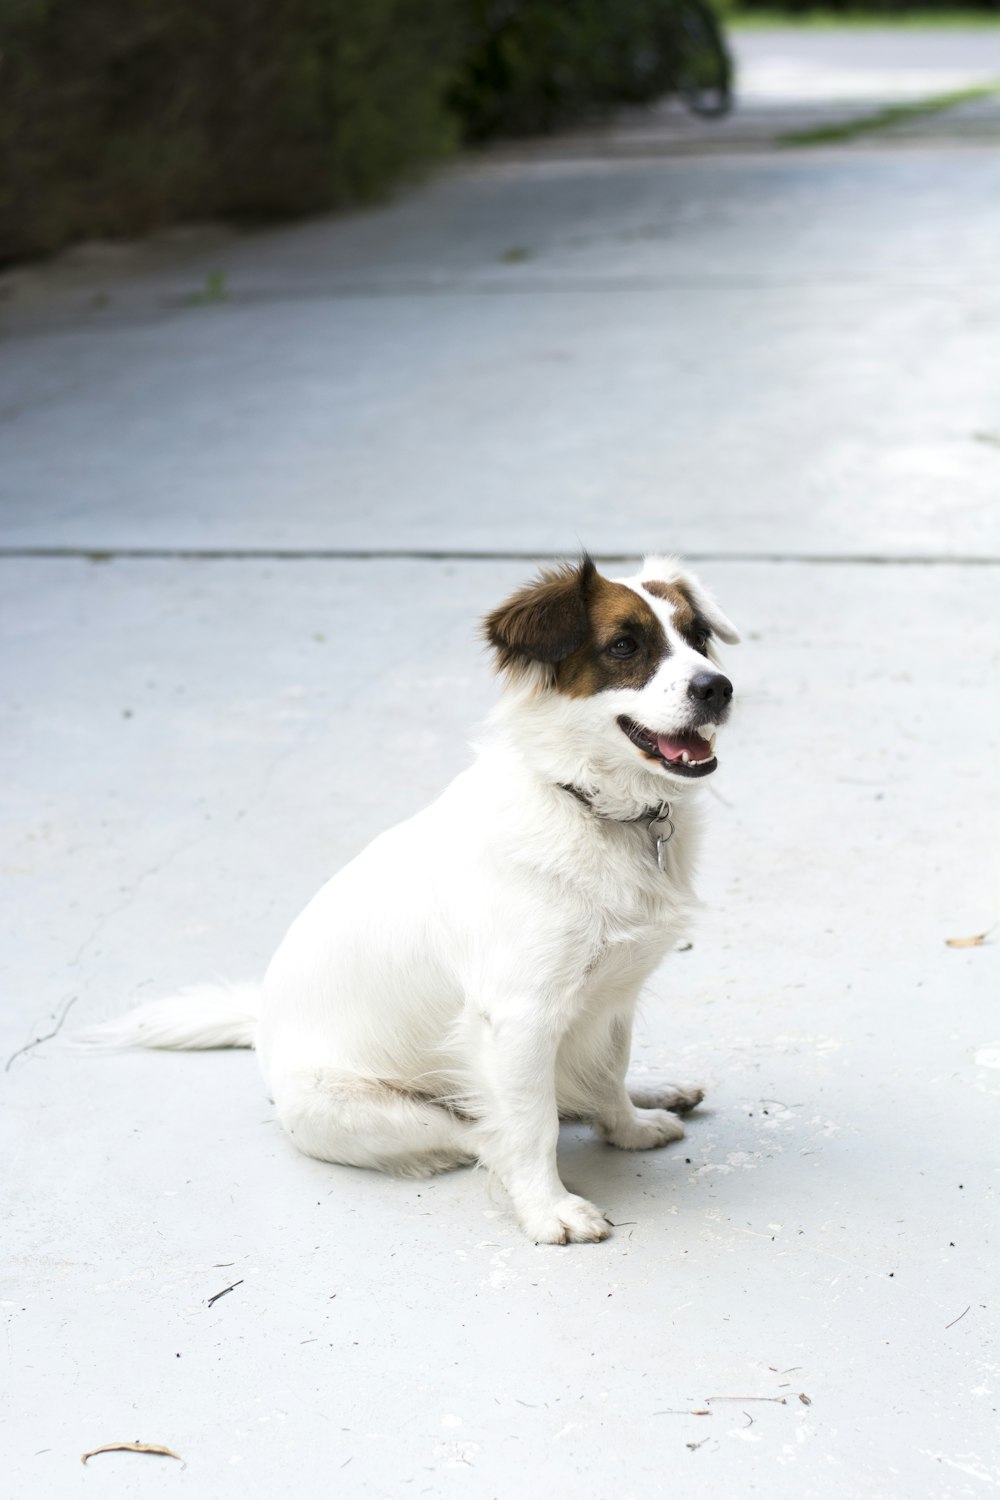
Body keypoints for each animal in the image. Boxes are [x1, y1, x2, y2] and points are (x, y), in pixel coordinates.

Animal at [89, 558, 740, 1248]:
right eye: (624, 646)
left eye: (699, 637)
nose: (719, 688)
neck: (589, 804)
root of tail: (262, 1026)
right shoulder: (519, 1017)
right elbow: (530, 1127)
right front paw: (548, 1210)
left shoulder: (613, 994)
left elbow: (610, 1070)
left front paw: (630, 1127)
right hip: (371, 1111)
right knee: (490, 1134)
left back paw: (656, 1093)